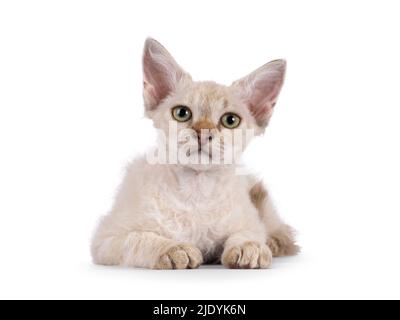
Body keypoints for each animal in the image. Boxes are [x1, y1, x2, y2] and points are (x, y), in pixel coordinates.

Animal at [90, 38, 296, 270]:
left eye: (230, 120)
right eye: (182, 113)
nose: (203, 133)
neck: (196, 191)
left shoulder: (250, 222)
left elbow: (247, 233)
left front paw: (248, 247)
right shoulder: (106, 239)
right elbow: (140, 238)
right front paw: (172, 249)